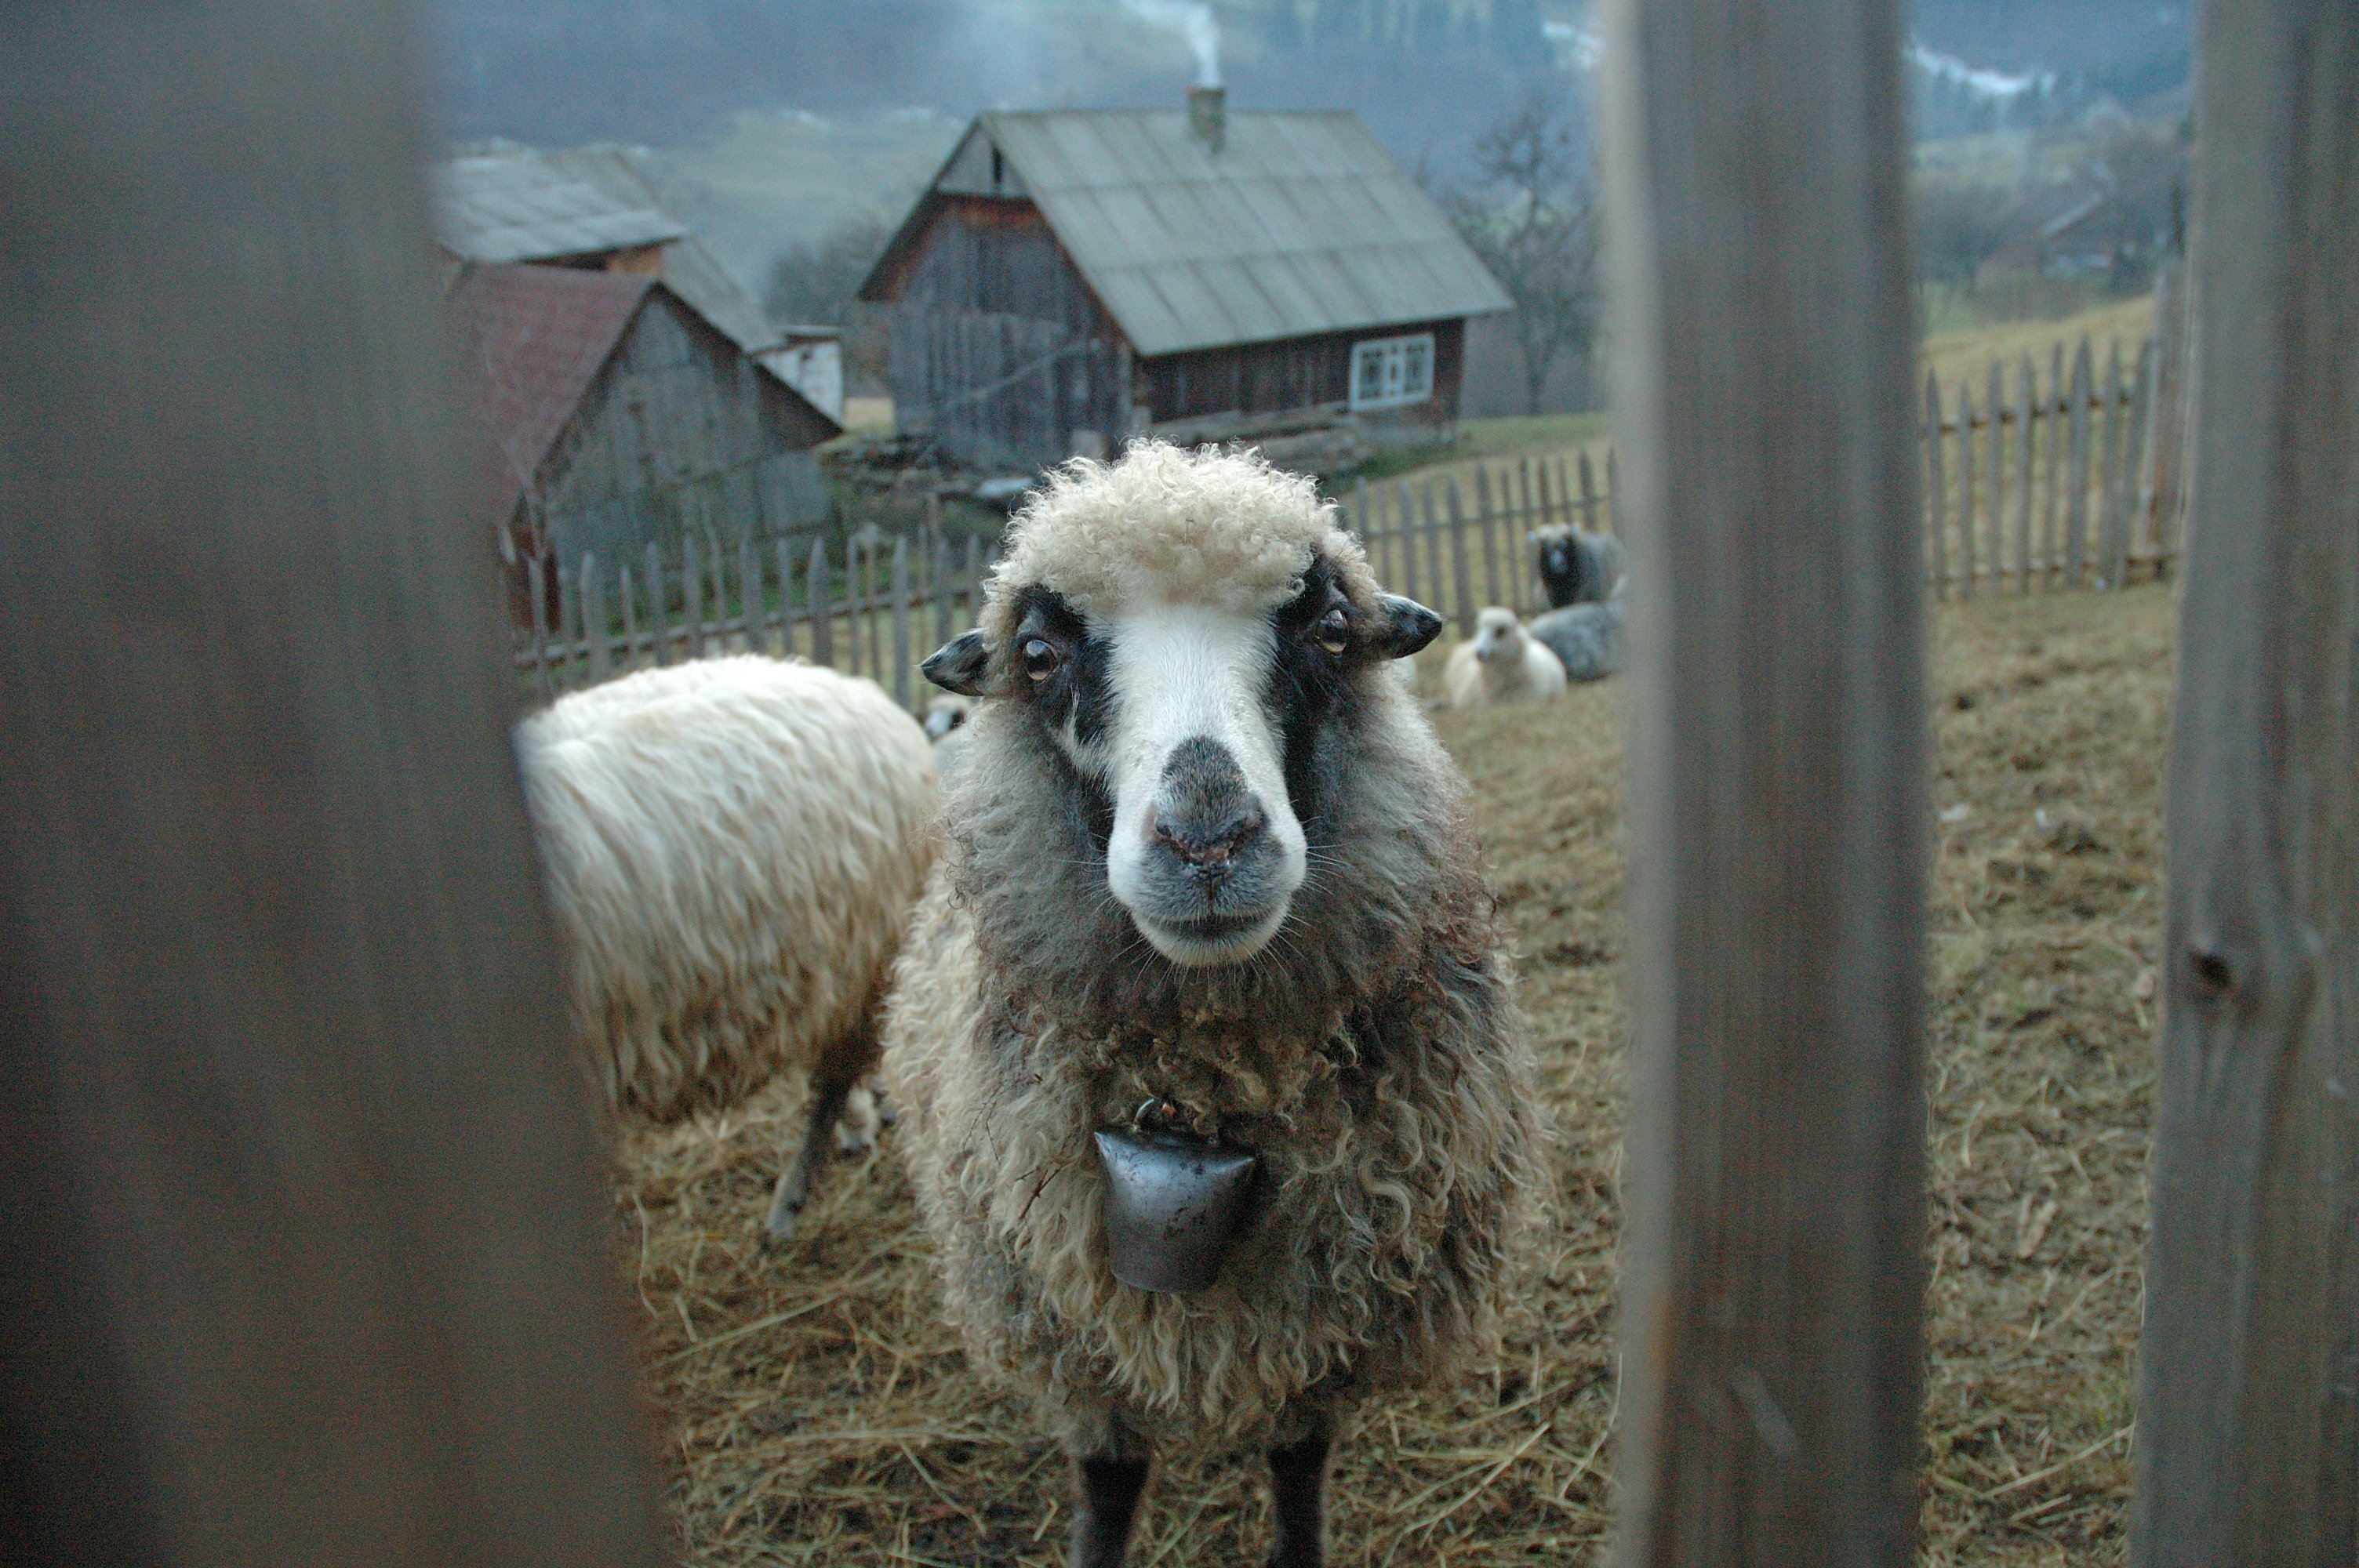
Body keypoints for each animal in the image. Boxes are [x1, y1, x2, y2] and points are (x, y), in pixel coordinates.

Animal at [877, 441, 1538, 1565]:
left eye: (1327, 630)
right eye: (1040, 653)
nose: (1208, 845)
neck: (1208, 1065)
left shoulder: (1325, 1326)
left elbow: (1298, 1469)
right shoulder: (1078, 1333)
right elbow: (1108, 1485)